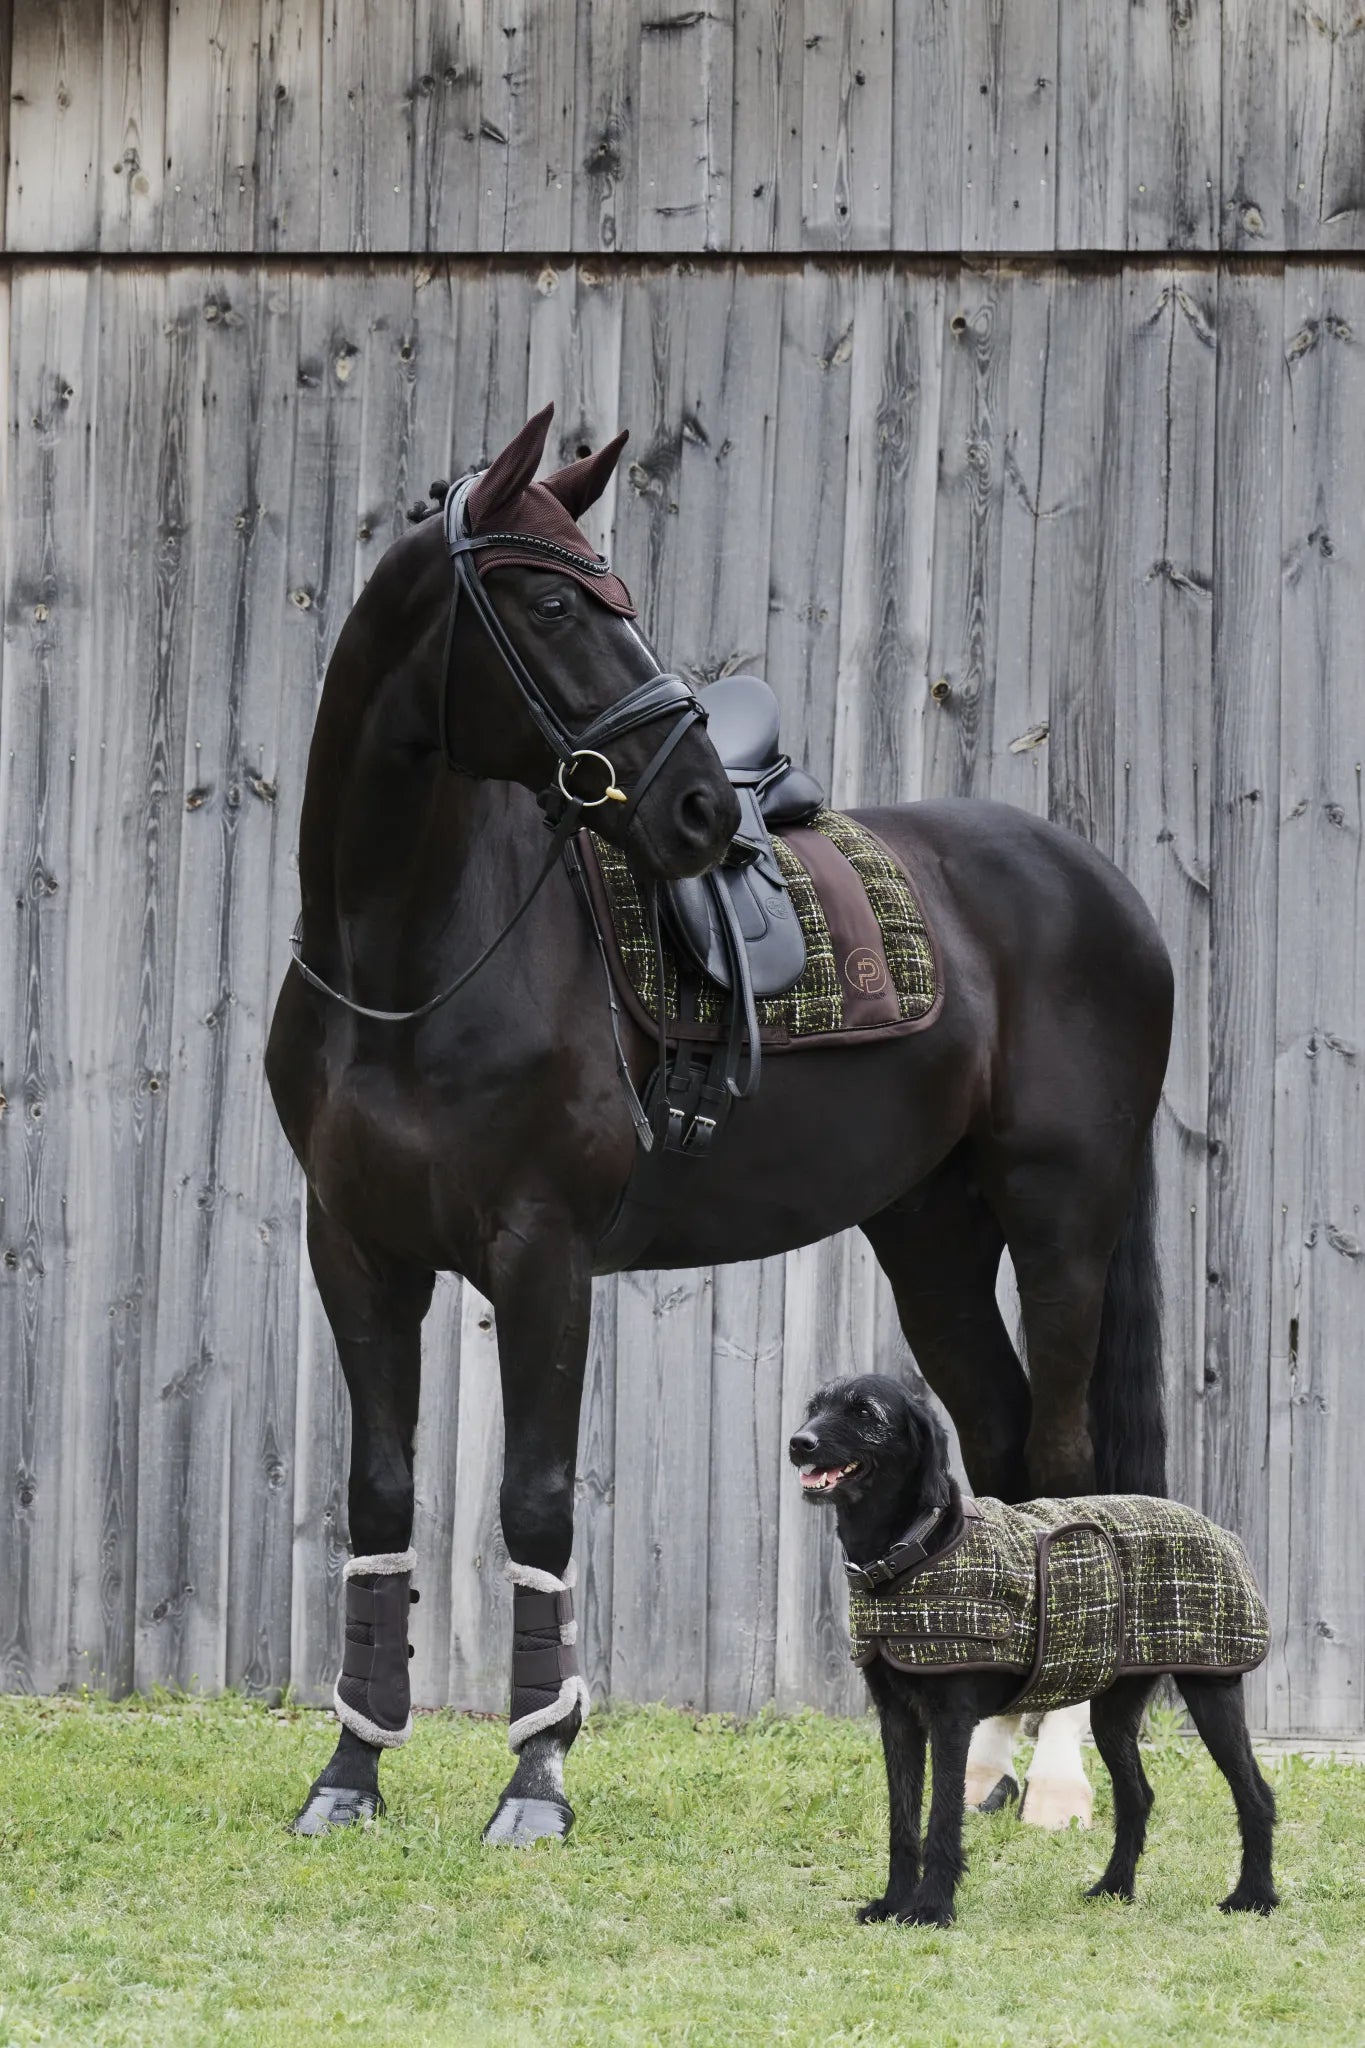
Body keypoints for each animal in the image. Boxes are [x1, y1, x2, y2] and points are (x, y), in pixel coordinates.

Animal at [270, 407, 1178, 1851]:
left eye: (619, 597)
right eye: (546, 599)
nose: (697, 806)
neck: (411, 961)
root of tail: (1102, 890)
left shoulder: (543, 1255)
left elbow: (536, 1503)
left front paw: (536, 1781)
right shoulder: (356, 1250)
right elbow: (379, 1497)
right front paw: (350, 1772)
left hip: (1062, 1224)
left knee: (1065, 1463)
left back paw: (1051, 1778)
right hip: (932, 1235)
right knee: (996, 1439)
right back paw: (981, 1759)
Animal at [789, 1368, 1285, 1925]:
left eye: (865, 1412)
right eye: (815, 1407)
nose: (798, 1442)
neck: (909, 1552)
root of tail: (1218, 1529)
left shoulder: (951, 1720)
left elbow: (942, 1817)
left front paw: (932, 1907)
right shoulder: (897, 1719)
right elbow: (903, 1821)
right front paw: (894, 1901)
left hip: (1211, 1691)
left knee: (1255, 1795)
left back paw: (1254, 1896)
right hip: (1113, 1713)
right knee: (1137, 1796)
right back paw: (1113, 1887)